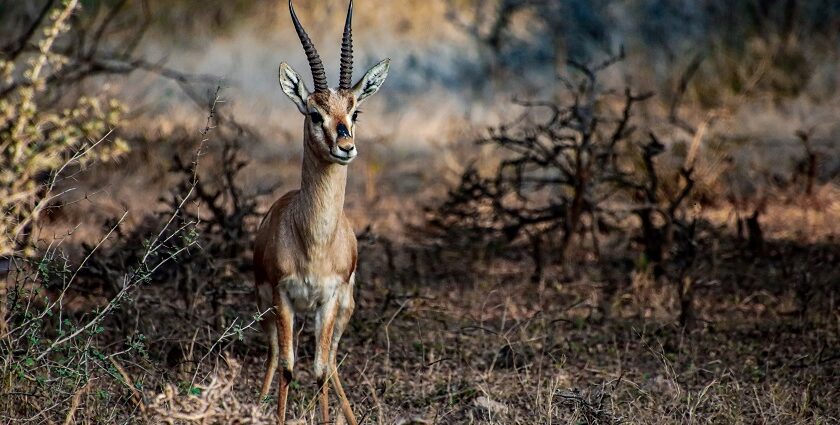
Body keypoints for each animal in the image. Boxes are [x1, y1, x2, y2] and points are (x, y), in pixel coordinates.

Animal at [253, 1, 390, 422]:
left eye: (355, 112)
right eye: (315, 113)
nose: (345, 147)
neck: (313, 241)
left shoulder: (328, 300)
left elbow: (318, 369)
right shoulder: (282, 296)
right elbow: (287, 367)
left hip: (343, 308)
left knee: (329, 361)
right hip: (268, 308)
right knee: (275, 355)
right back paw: (258, 404)